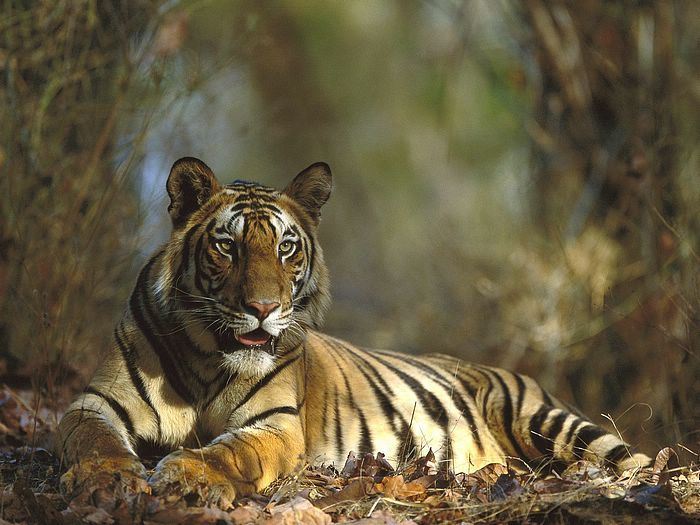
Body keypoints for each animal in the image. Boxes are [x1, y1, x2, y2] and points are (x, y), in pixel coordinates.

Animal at [56, 157, 651, 502]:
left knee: (634, 463)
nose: (263, 307)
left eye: (286, 247)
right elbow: (91, 439)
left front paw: (183, 474)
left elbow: (228, 452)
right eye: (227, 246)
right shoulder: (95, 402)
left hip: (549, 422)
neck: (208, 357)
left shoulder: (275, 425)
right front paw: (107, 479)